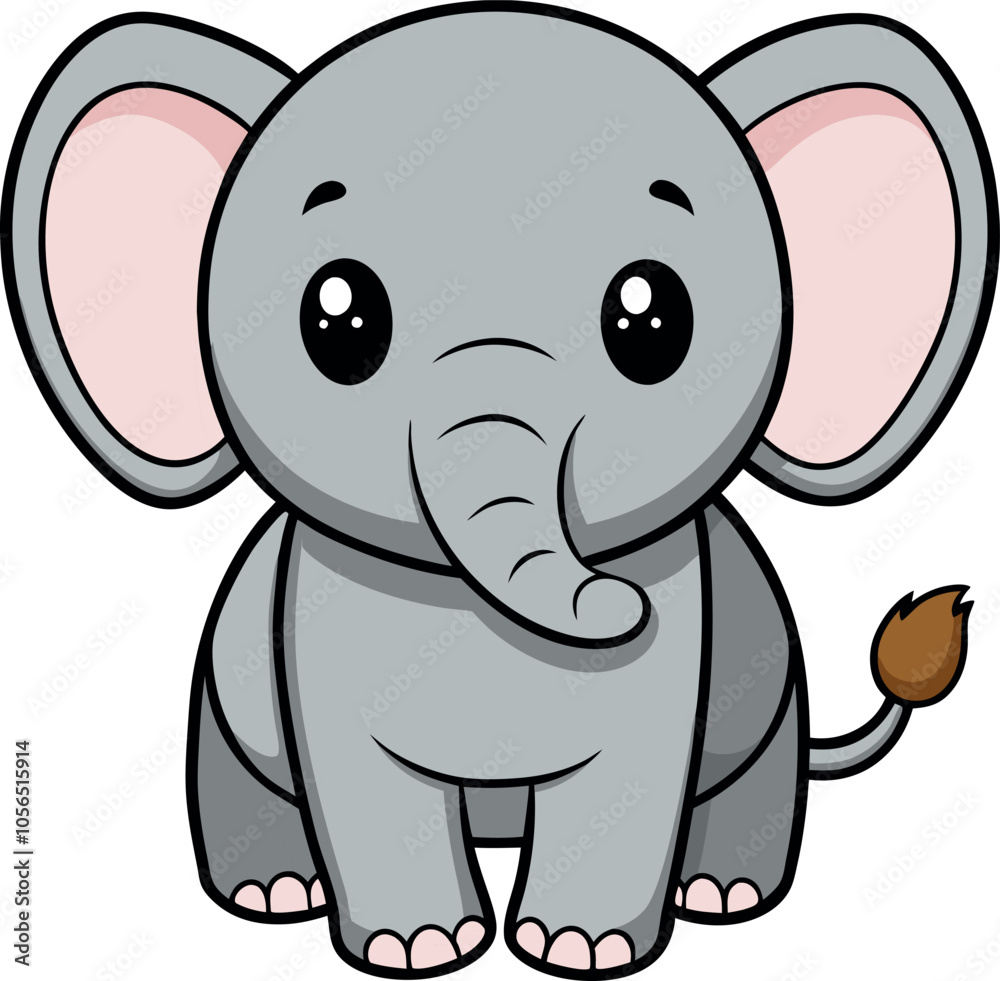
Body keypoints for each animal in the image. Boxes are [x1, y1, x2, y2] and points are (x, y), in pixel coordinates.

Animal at [3, 3, 996, 977]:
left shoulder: (686, 636)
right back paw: (274, 892)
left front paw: (579, 950)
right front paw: (418, 949)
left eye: (652, 321)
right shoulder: (313, 626)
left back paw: (724, 894)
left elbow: (633, 776)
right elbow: (361, 784)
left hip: (778, 684)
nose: (619, 603)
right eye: (337, 318)